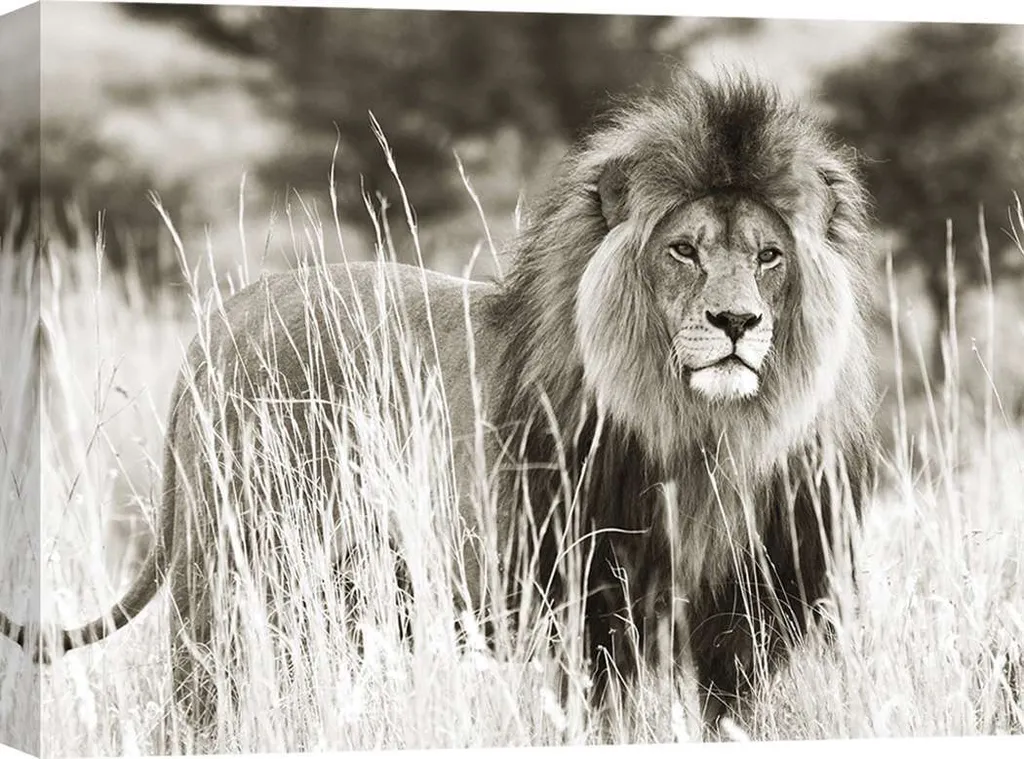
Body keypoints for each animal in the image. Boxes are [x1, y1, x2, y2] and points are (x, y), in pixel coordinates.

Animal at [1, 71, 876, 736]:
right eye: (684, 250)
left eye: (769, 255)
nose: (737, 322)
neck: (706, 437)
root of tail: (219, 322)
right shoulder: (593, 616)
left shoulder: (744, 629)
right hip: (230, 574)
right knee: (196, 703)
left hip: (339, 593)